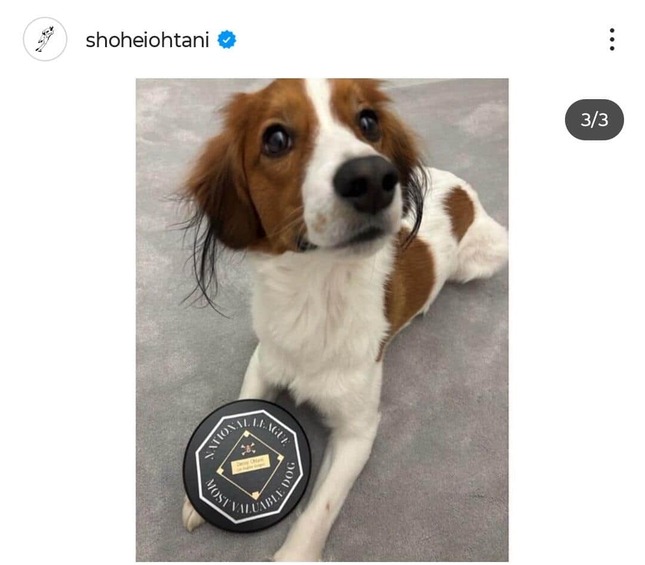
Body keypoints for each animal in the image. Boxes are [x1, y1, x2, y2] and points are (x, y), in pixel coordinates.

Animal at [181, 79, 508, 561]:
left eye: (368, 121)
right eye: (275, 139)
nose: (372, 178)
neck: (316, 294)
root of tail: (461, 187)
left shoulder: (358, 431)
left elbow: (320, 509)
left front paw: (294, 552)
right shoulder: (264, 360)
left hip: (487, 256)